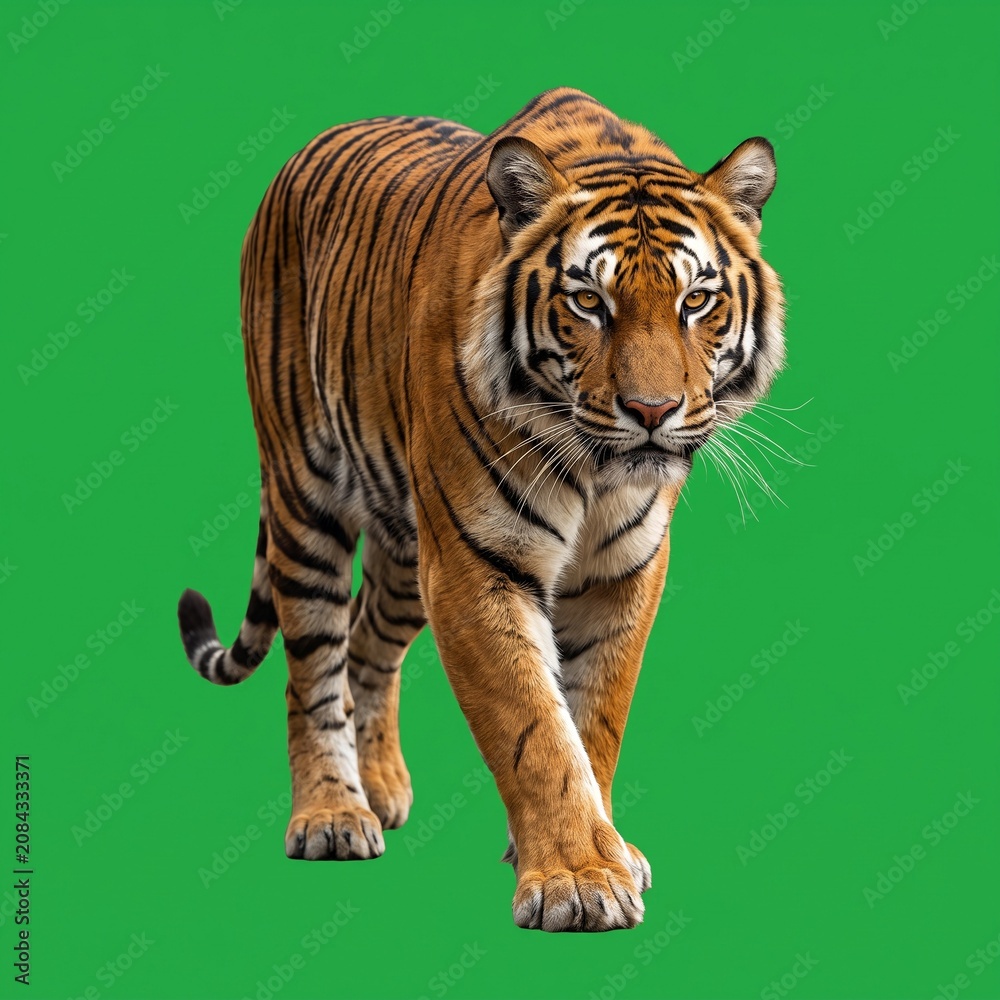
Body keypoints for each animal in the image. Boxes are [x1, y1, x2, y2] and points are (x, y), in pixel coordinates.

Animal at [177, 87, 784, 932]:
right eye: (588, 302)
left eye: (697, 300)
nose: (652, 412)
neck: (594, 471)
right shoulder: (476, 567)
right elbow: (535, 728)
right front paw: (577, 880)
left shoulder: (623, 570)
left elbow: (594, 718)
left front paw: (602, 850)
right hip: (307, 498)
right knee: (313, 666)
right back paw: (333, 814)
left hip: (407, 550)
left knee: (366, 642)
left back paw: (381, 787)